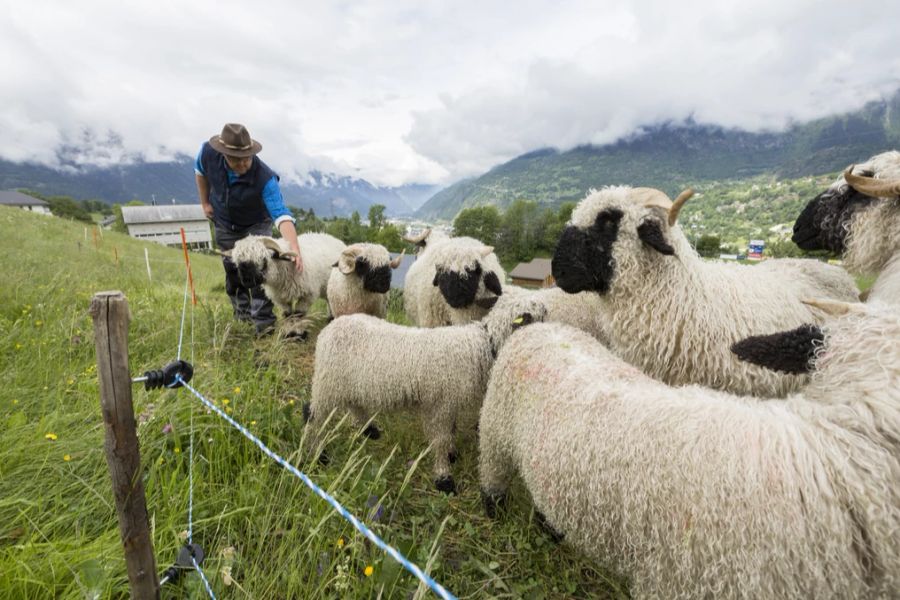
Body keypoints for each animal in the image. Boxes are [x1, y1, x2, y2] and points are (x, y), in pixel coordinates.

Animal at [304, 290, 548, 492]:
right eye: (538, 314)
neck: (482, 345)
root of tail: (331, 327)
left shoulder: (447, 402)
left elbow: (449, 431)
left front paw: (451, 455)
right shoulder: (440, 402)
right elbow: (440, 438)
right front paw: (444, 478)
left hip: (348, 382)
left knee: (354, 404)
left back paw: (369, 430)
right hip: (327, 381)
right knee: (313, 415)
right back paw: (318, 454)